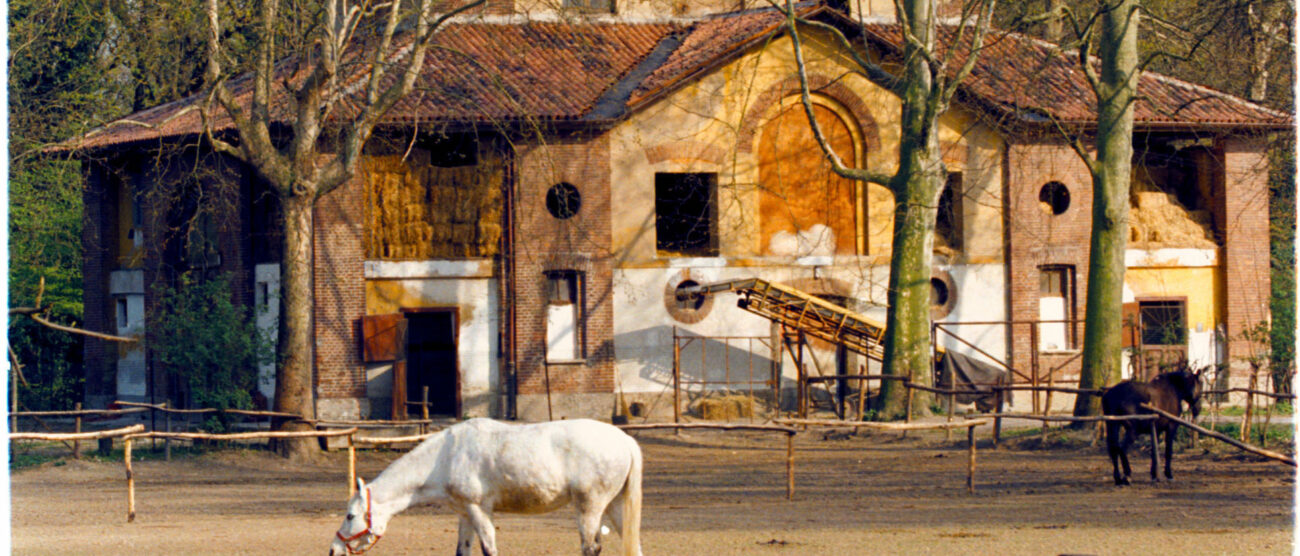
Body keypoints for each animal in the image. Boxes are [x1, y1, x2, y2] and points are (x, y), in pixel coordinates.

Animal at [330, 418, 644, 553]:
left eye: (350, 516)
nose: (333, 549)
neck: (446, 456)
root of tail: (624, 440)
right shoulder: (465, 514)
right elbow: (463, 551)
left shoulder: (479, 510)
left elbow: (488, 549)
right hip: (615, 507)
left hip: (590, 509)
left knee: (591, 548)